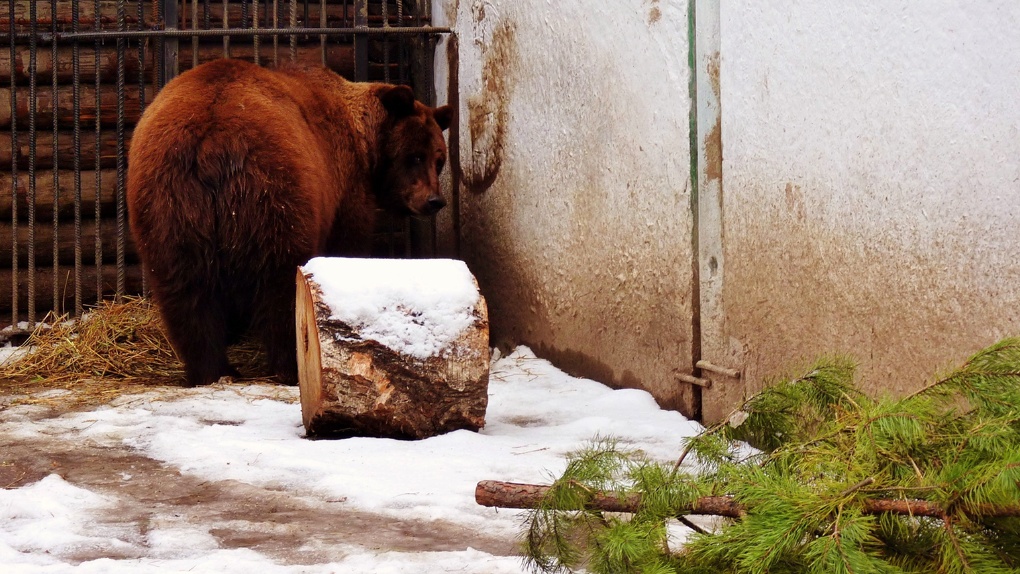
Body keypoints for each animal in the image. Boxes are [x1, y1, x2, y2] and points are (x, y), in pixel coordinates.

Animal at [126, 58, 450, 389]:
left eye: (439, 159)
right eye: (414, 156)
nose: (434, 200)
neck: (363, 142)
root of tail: (211, 143)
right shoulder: (343, 189)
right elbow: (346, 243)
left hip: (169, 202)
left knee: (186, 291)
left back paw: (210, 370)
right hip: (272, 190)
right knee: (279, 282)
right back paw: (288, 365)